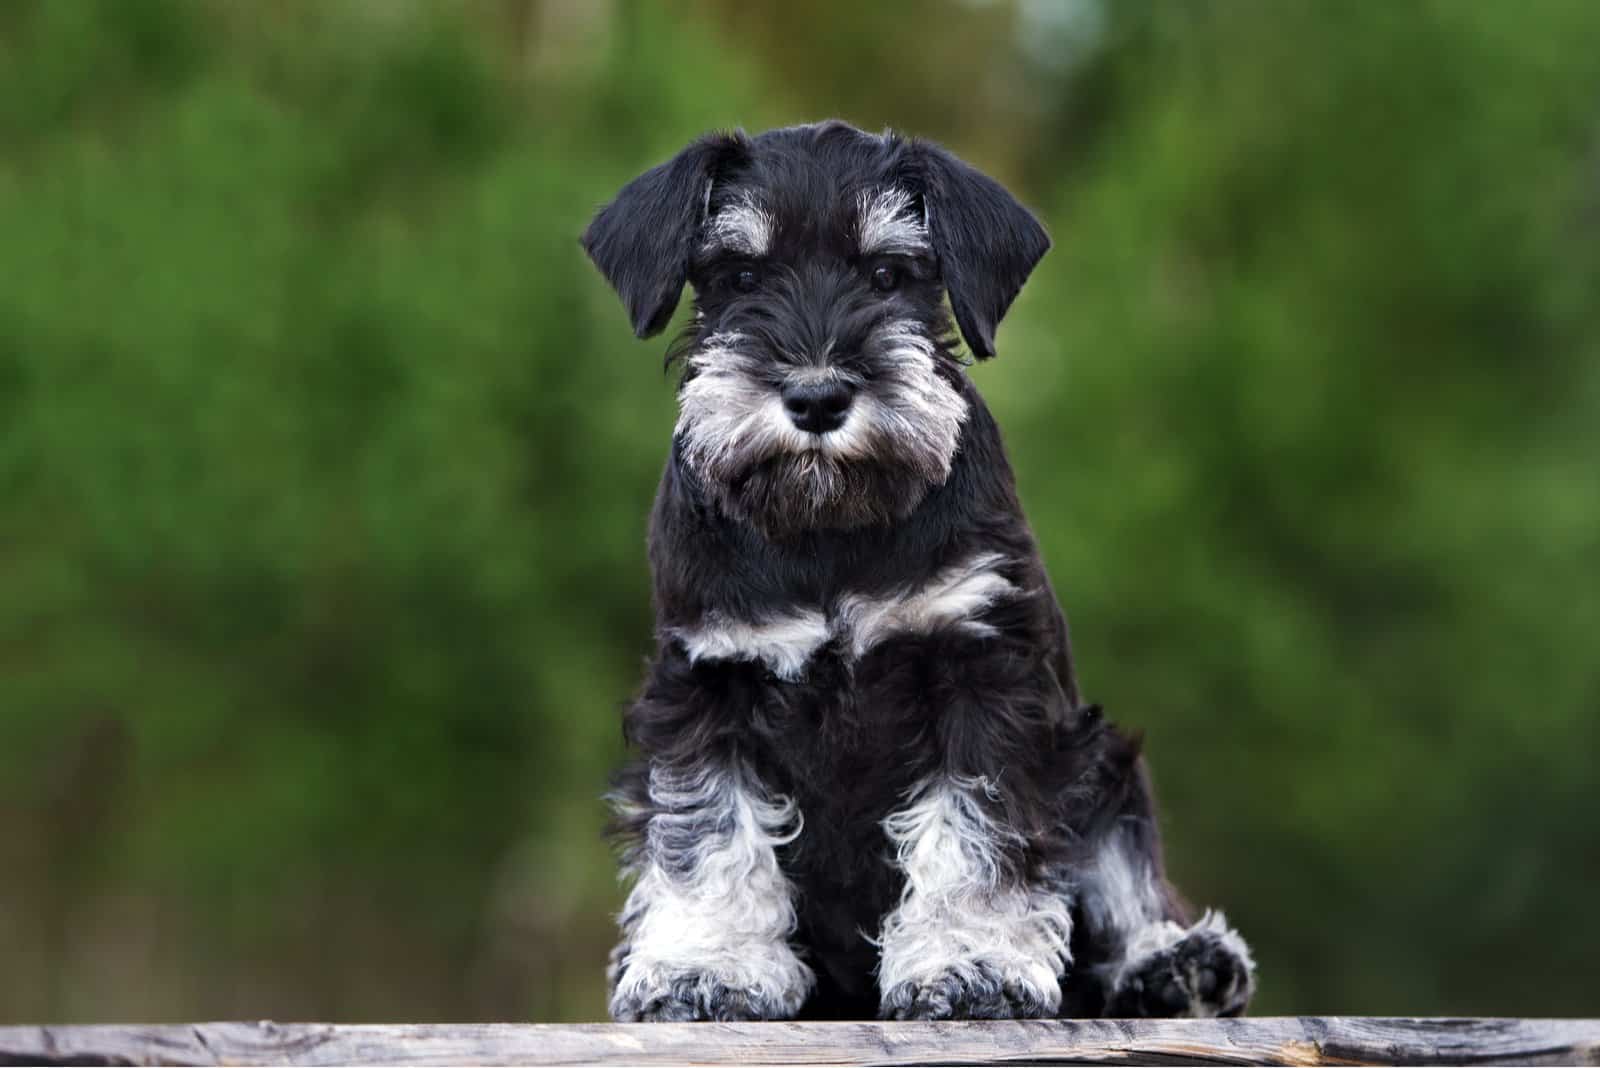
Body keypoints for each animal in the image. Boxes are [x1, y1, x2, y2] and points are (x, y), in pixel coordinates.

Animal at [582, 120, 1254, 1023]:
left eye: (888, 274)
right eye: (740, 276)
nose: (817, 396)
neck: (828, 525)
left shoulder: (981, 672)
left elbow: (977, 834)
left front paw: (971, 964)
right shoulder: (706, 684)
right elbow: (708, 829)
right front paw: (705, 967)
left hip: (1104, 758)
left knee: (1123, 879)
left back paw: (1178, 962)